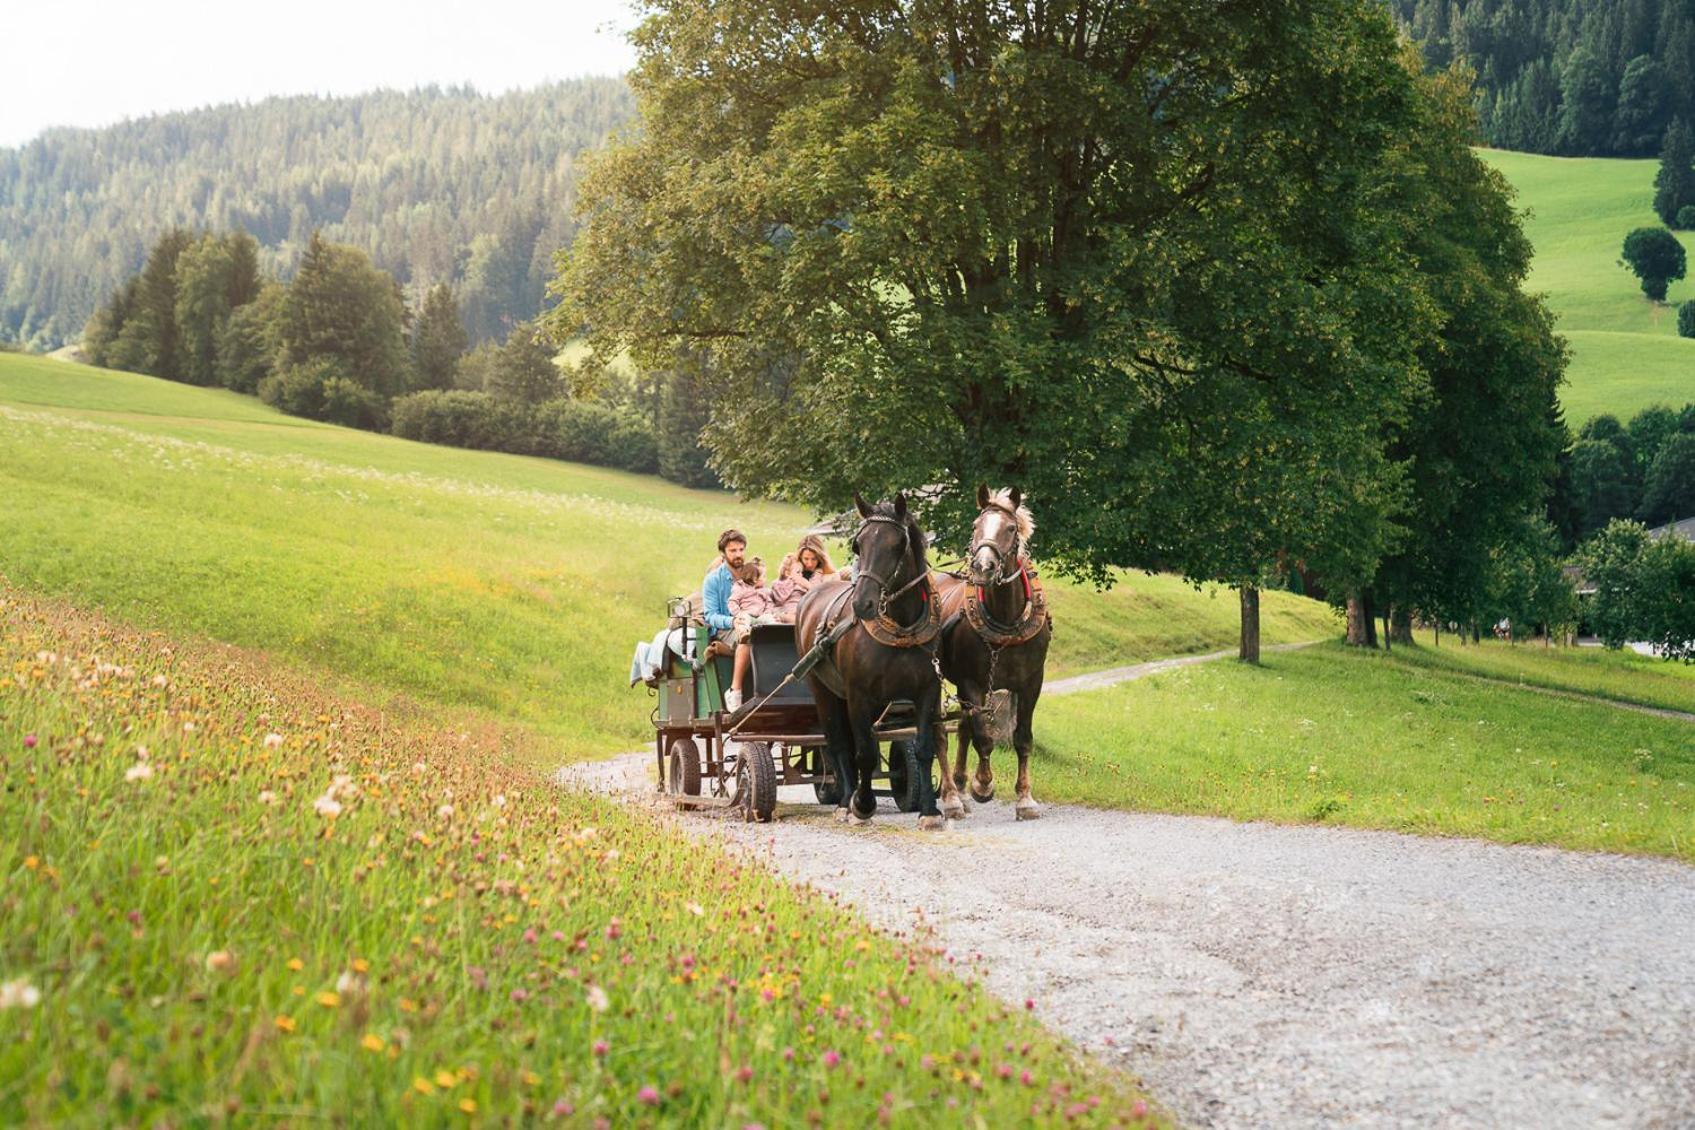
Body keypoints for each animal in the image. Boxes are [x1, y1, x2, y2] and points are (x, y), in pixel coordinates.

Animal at [789, 494, 949, 830]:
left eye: (896, 545)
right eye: (858, 545)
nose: (862, 603)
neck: (901, 628)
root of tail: (811, 596)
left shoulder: (927, 691)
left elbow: (923, 748)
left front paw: (929, 810)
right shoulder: (859, 695)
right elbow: (863, 753)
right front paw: (862, 805)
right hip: (824, 691)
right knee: (838, 743)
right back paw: (845, 801)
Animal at [935, 487, 1050, 823]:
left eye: (1010, 528)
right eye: (976, 525)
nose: (983, 567)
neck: (1007, 620)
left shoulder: (1031, 684)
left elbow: (1022, 738)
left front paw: (1025, 799)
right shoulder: (972, 682)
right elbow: (983, 737)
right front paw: (983, 785)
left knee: (961, 728)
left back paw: (959, 790)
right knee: (943, 732)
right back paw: (953, 796)